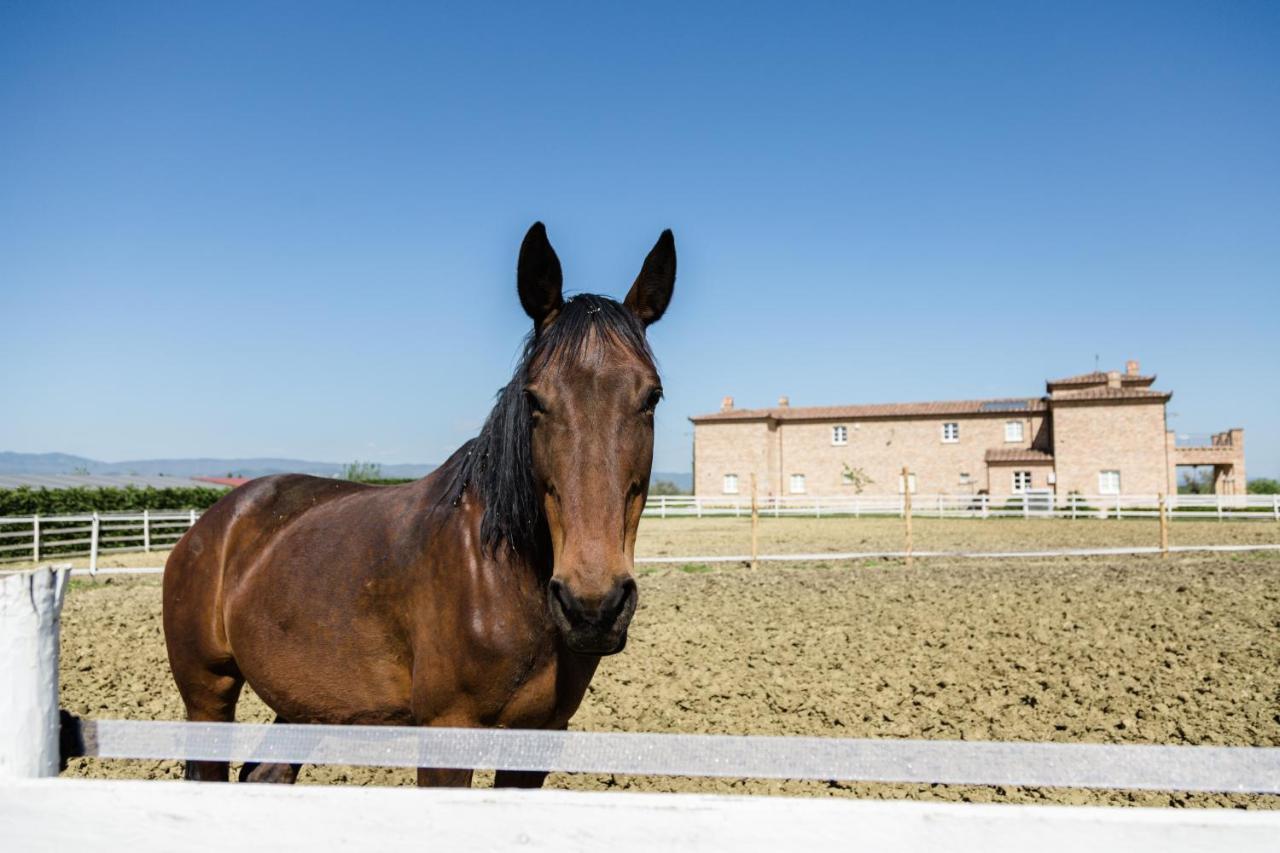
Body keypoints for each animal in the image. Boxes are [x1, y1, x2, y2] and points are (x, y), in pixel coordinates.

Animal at [165, 224, 675, 783]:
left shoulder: (540, 738)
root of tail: (210, 525)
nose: (592, 606)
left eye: (651, 397)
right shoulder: (446, 732)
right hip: (208, 696)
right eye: (535, 398)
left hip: (303, 701)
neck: (499, 573)